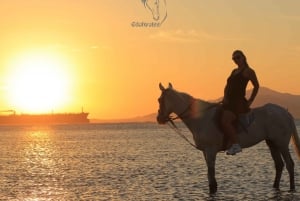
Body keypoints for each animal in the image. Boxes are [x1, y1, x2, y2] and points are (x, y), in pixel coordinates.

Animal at [157, 82, 300, 194]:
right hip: (272, 143)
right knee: (279, 165)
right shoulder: (205, 152)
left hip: (282, 143)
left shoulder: (210, 151)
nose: (159, 119)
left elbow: (211, 175)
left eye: (159, 100)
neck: (201, 118)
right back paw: (275, 187)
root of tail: (285, 112)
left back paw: (292, 189)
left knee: (289, 164)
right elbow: (210, 175)